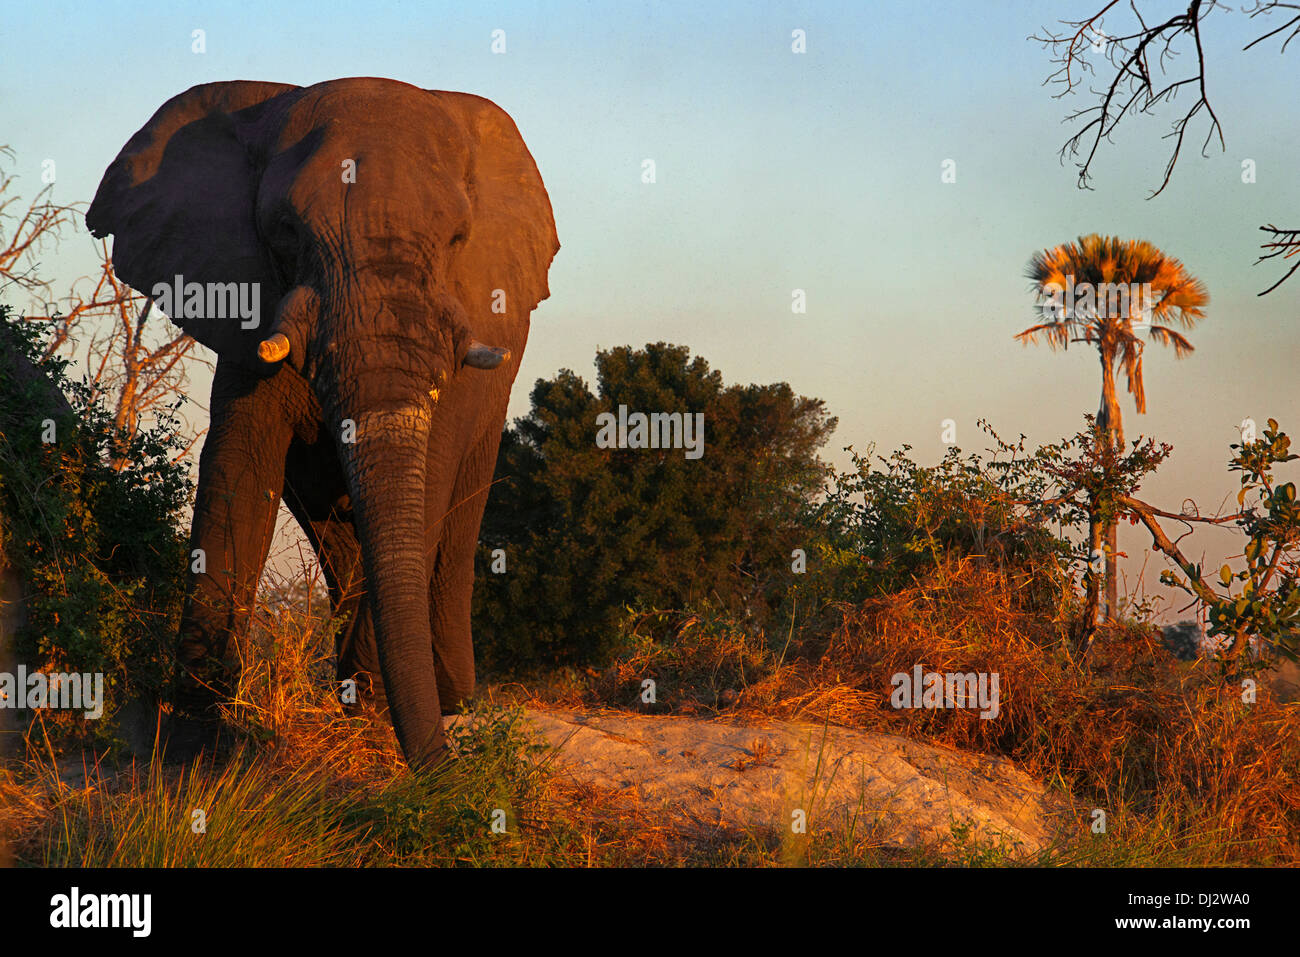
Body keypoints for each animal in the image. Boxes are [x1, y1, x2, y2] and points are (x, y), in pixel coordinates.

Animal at [83, 78, 561, 774]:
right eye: (286, 232)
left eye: (456, 240)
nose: (445, 773)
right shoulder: (251, 308)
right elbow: (238, 471)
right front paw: (197, 746)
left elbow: (427, 480)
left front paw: (371, 716)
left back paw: (443, 698)